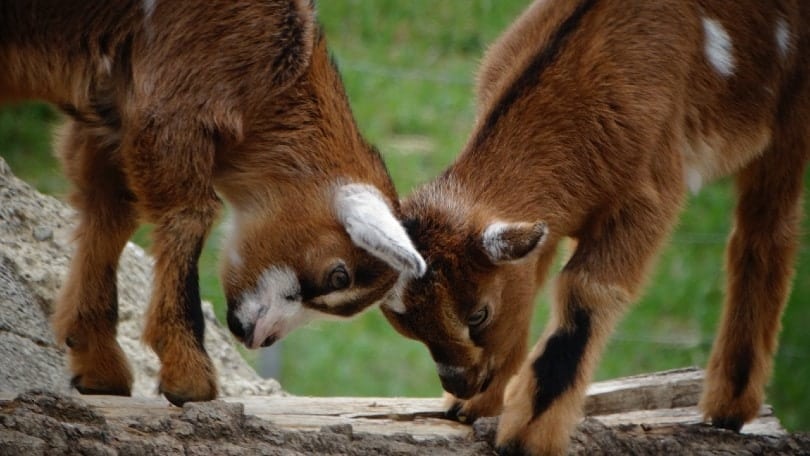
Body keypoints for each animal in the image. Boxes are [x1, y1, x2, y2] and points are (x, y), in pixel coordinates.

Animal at [1, 0, 425, 406]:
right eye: (339, 275)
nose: (263, 338)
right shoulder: (173, 103)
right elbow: (188, 214)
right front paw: (188, 378)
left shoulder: (112, 114)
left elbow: (109, 212)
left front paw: (98, 365)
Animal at [381, 0, 809, 454]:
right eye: (408, 327)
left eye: (479, 314)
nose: (460, 386)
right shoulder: (543, 225)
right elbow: (532, 280)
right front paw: (475, 408)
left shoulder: (649, 193)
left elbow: (586, 294)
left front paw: (526, 436)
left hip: (791, 114)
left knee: (766, 230)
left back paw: (729, 407)